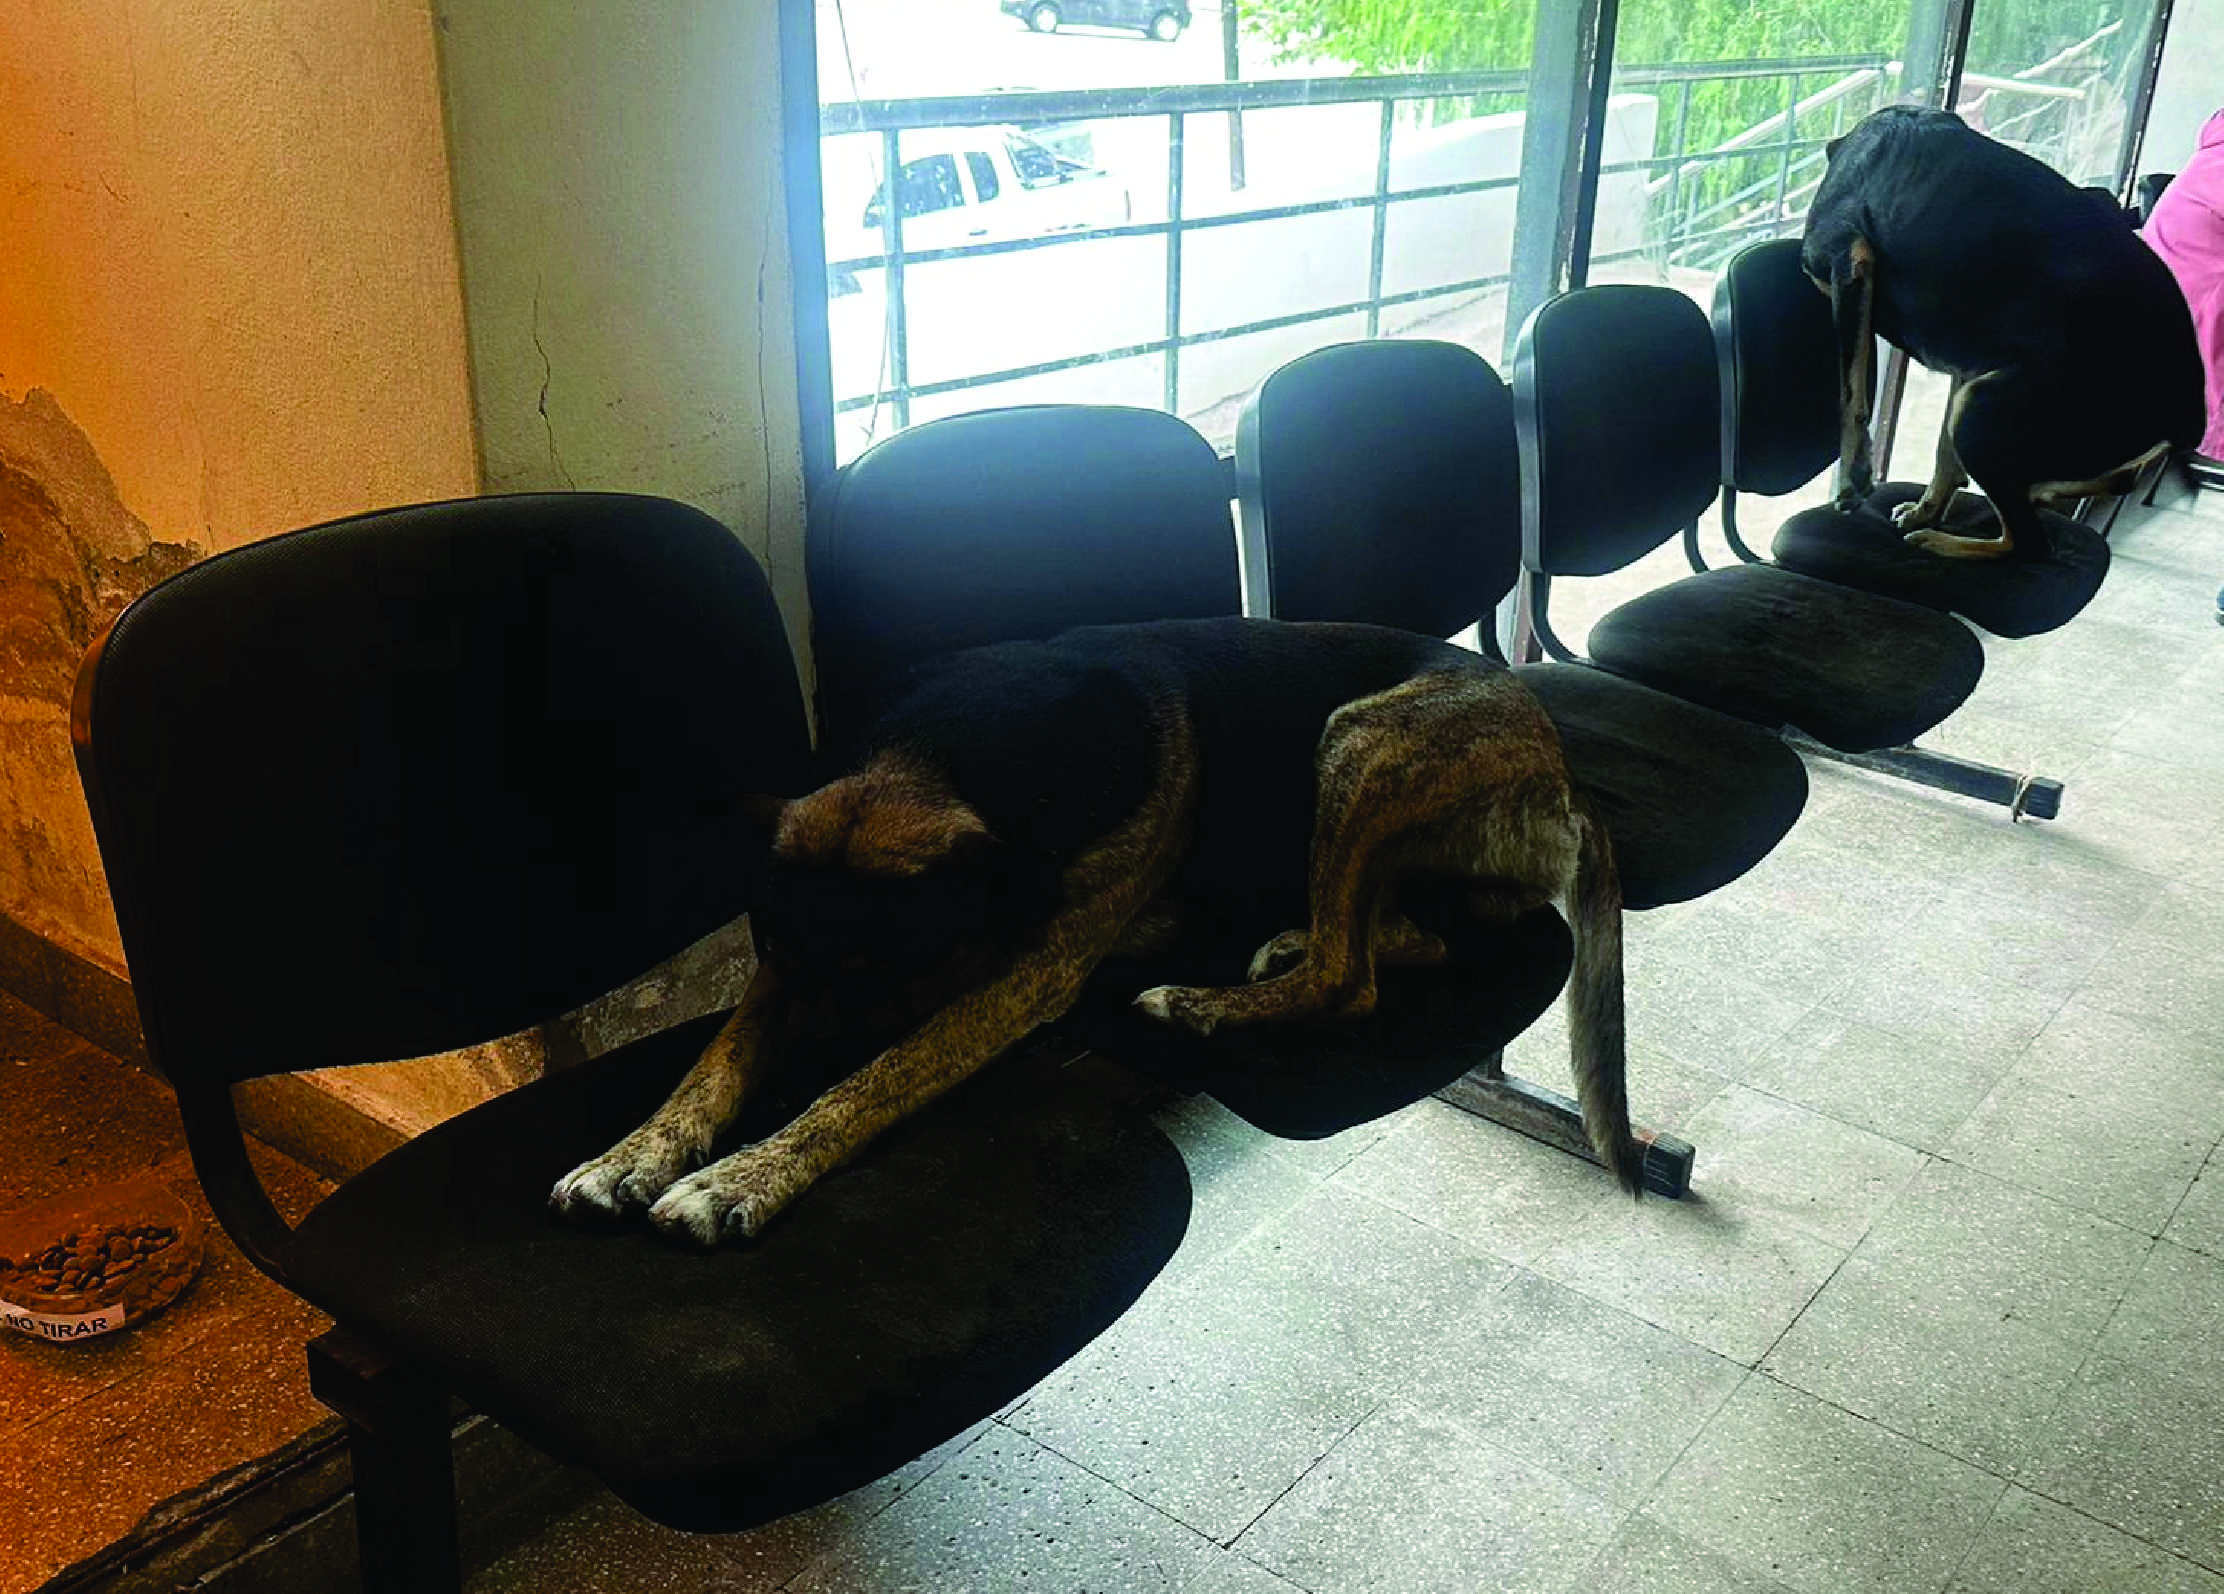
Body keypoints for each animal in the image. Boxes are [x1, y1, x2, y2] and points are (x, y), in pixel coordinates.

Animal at [549, 618, 1638, 1245]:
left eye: (899, 969)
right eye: (785, 955)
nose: (790, 1084)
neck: (939, 755)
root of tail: (1560, 782)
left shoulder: (1027, 972)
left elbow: (871, 1083)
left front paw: (747, 1171)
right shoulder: (778, 965)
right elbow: (715, 1062)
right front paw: (637, 1152)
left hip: (1361, 741)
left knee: (1351, 973)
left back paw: (1201, 1001)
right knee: (1397, 943)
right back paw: (1283, 945)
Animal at [1801, 104, 2207, 559]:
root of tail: (2187, 409)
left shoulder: (1849, 260)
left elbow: (1850, 395)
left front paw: (1853, 480)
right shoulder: (1966, 357)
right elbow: (1942, 454)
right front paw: (1925, 506)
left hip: (1982, 414)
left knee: (2028, 545)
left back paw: (1942, 542)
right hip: (1991, 405)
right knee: (2112, 481)